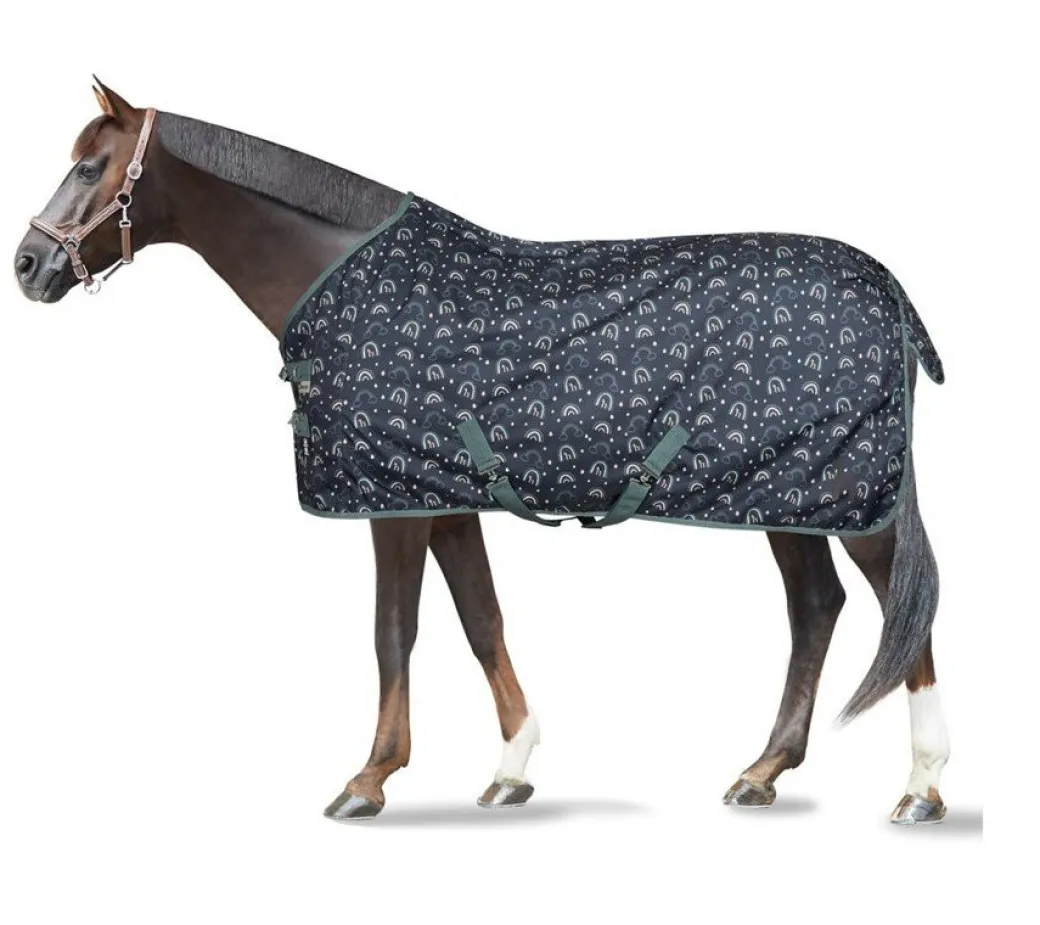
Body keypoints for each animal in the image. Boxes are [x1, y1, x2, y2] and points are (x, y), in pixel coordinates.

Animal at [13, 80, 950, 824]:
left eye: (92, 166)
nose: (26, 265)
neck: (345, 278)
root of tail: (892, 291)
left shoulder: (391, 504)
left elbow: (394, 629)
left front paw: (368, 778)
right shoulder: (445, 497)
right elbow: (480, 618)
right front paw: (511, 767)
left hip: (850, 505)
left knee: (902, 609)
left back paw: (923, 787)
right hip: (790, 498)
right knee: (817, 607)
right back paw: (762, 771)